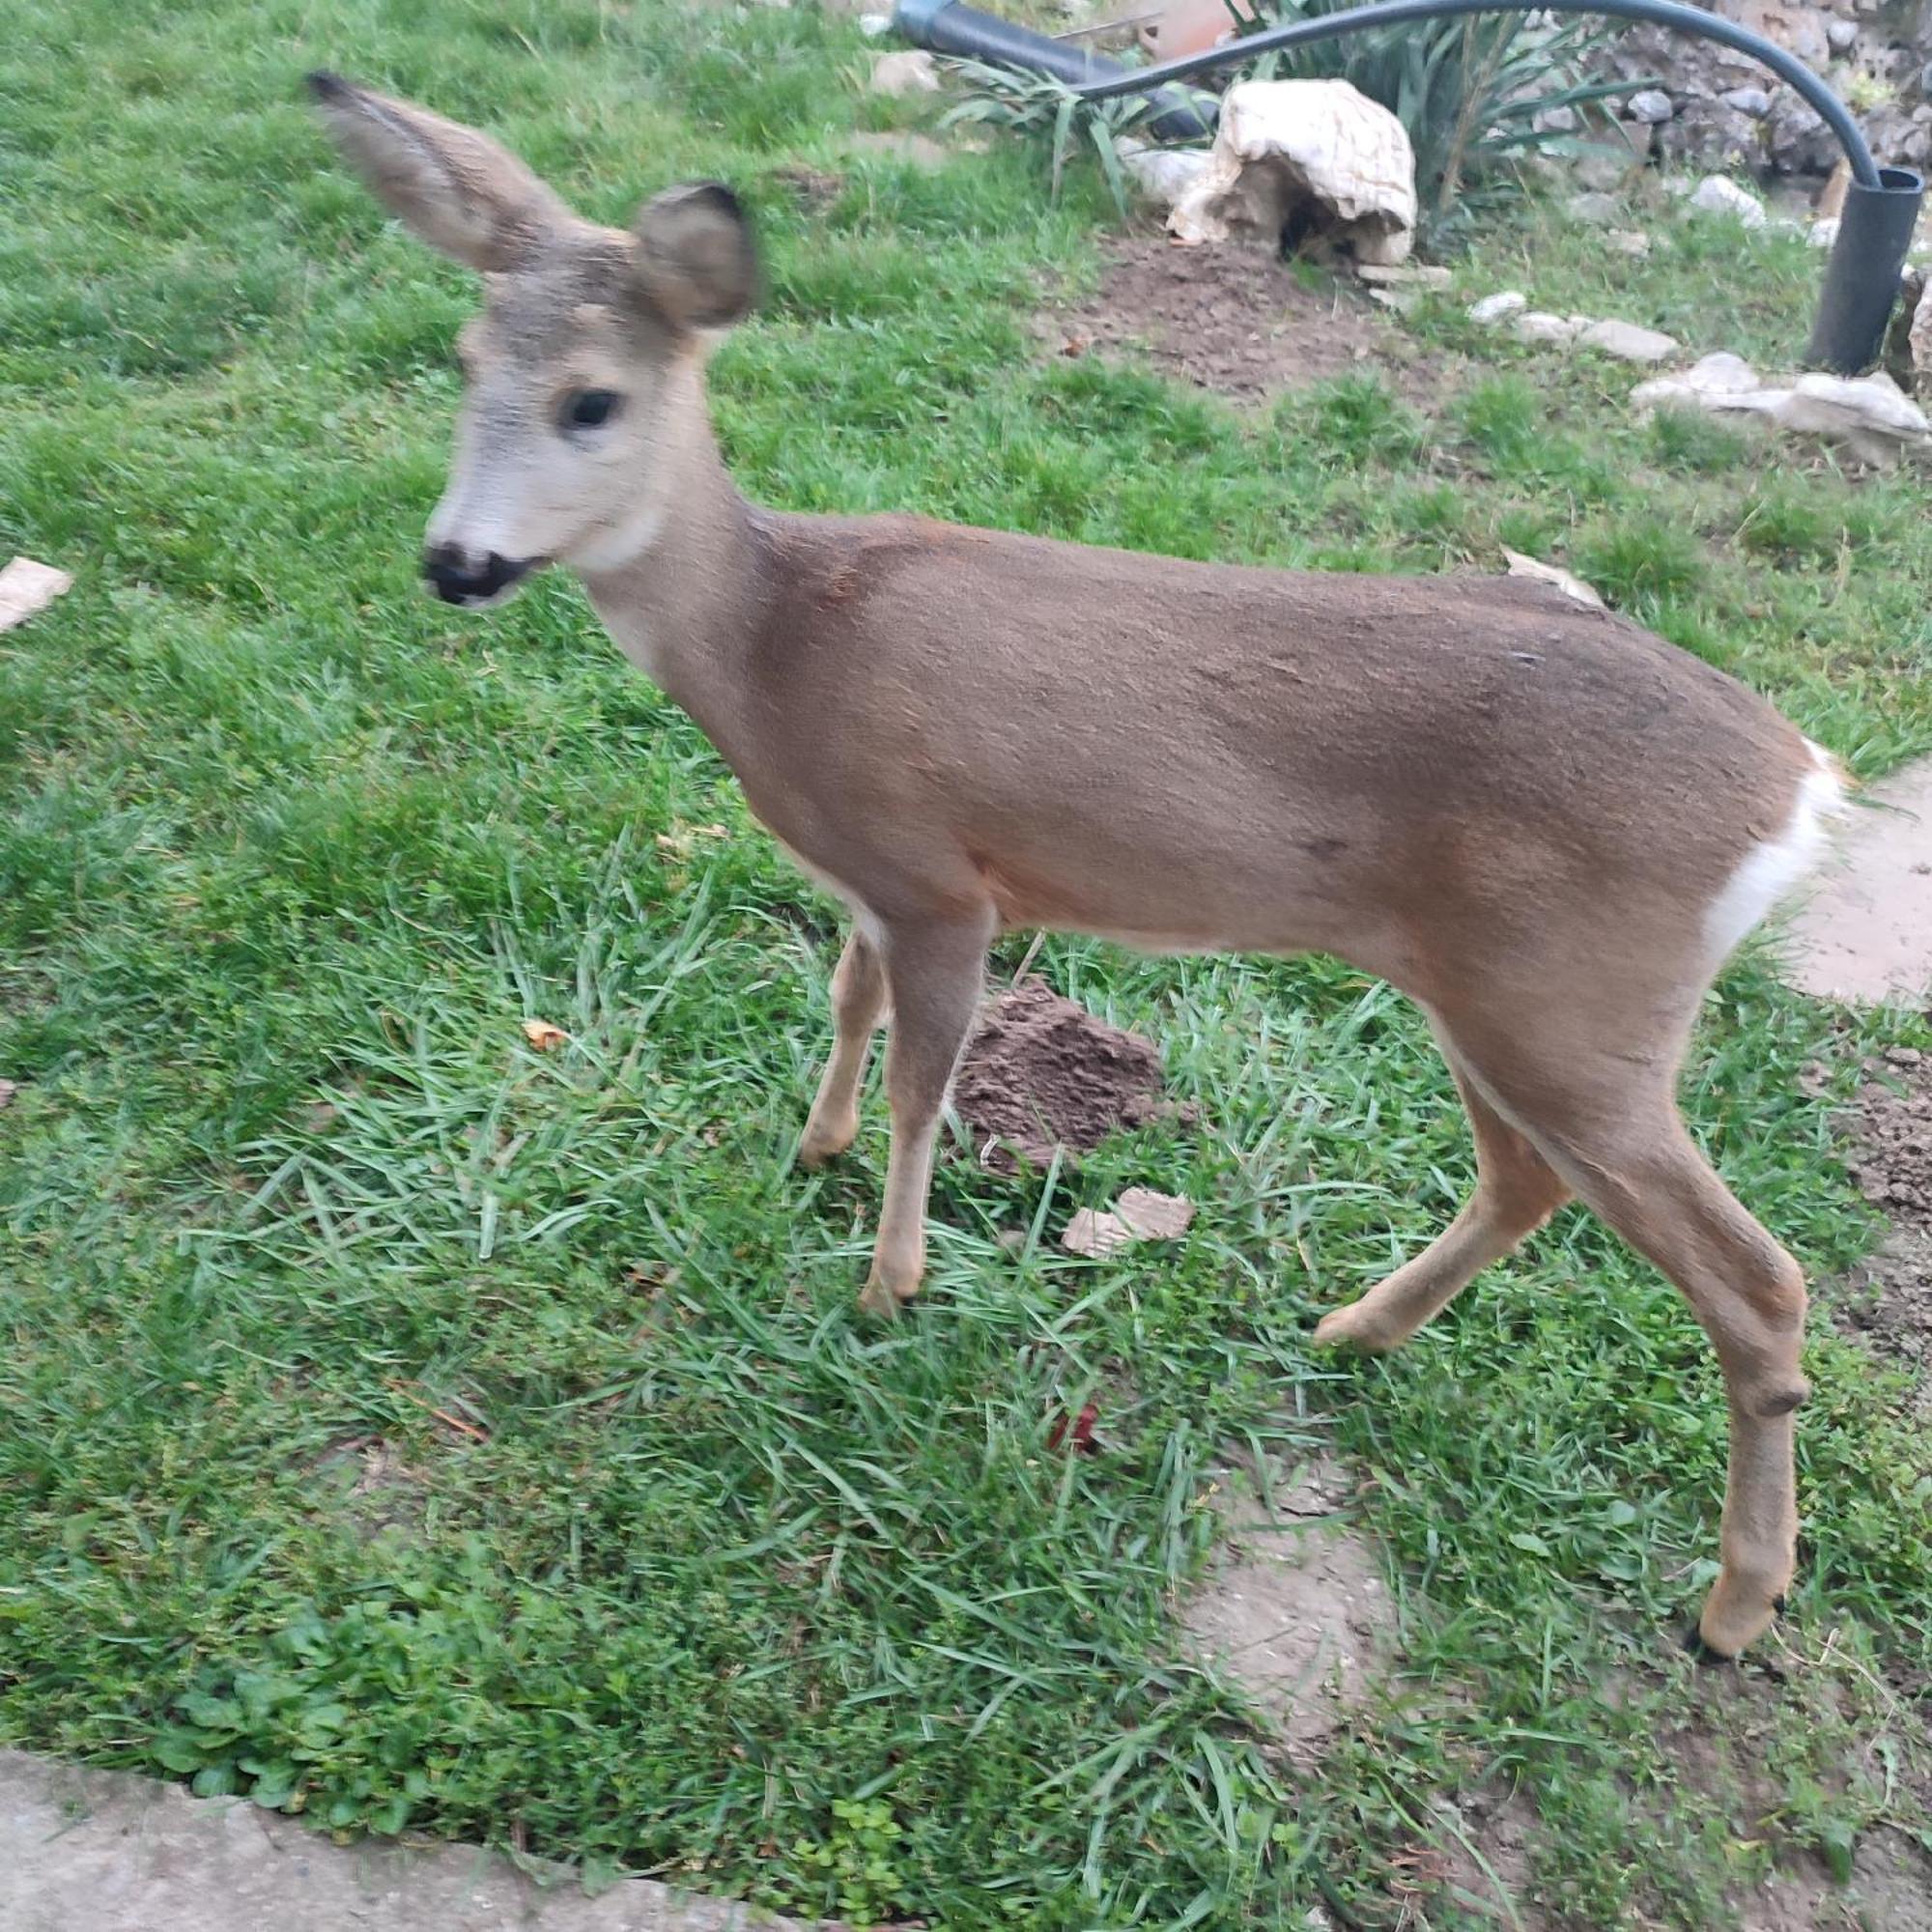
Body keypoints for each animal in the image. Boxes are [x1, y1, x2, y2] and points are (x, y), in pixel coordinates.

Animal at [309, 75, 1847, 1662]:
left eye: (591, 400)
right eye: (465, 359)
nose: (455, 561)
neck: (771, 645)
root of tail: (1799, 788)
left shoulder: (942, 879)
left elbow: (926, 1084)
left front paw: (888, 1283)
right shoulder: (870, 880)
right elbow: (847, 1006)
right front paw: (814, 1146)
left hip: (1576, 1005)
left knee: (1758, 1279)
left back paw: (1735, 1603)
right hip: (1497, 998)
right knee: (1530, 1185)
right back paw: (1351, 1330)